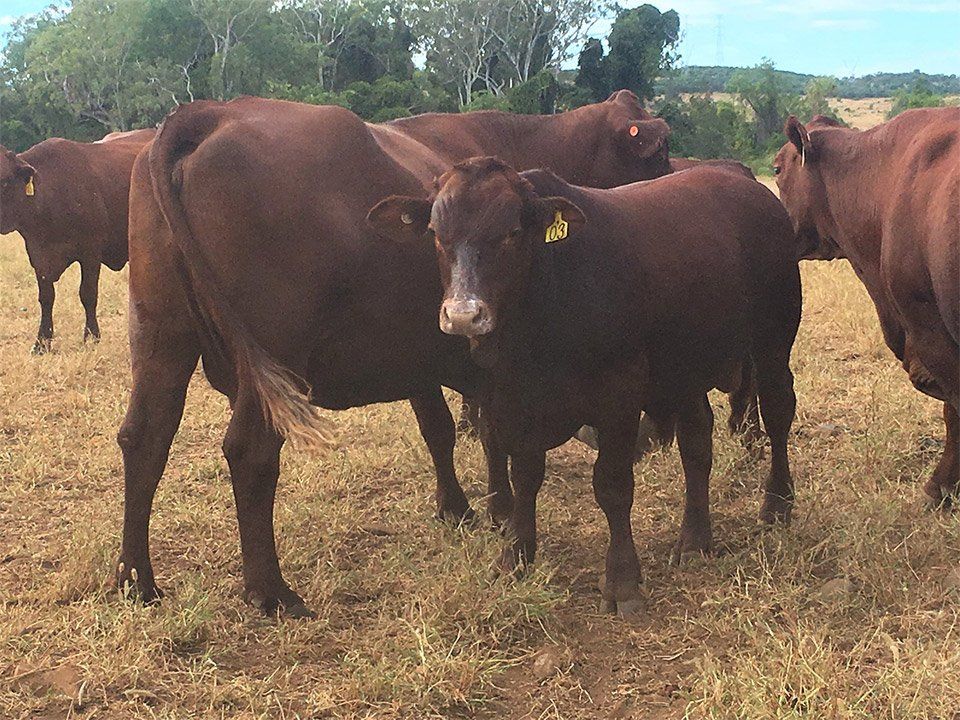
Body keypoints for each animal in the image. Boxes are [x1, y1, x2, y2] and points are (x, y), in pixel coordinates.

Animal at [0, 128, 155, 352]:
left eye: (4, 181)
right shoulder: (38, 255)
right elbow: (46, 298)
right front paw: (42, 342)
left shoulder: (91, 253)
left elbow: (88, 294)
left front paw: (91, 337)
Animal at [117, 93, 677, 617]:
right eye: (658, 152)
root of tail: (214, 112)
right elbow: (494, 432)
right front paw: (500, 511)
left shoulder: (421, 359)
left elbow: (443, 431)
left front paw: (461, 508)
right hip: (273, 356)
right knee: (249, 453)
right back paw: (271, 590)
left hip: (160, 338)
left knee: (144, 438)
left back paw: (135, 579)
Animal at [366, 157, 802, 617]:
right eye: (436, 233)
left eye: (512, 232)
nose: (464, 314)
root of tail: (747, 186)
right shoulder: (516, 402)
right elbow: (524, 477)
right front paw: (516, 556)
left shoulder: (618, 400)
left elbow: (612, 486)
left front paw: (622, 580)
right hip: (685, 368)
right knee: (697, 442)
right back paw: (695, 539)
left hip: (774, 339)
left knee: (777, 412)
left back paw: (777, 504)